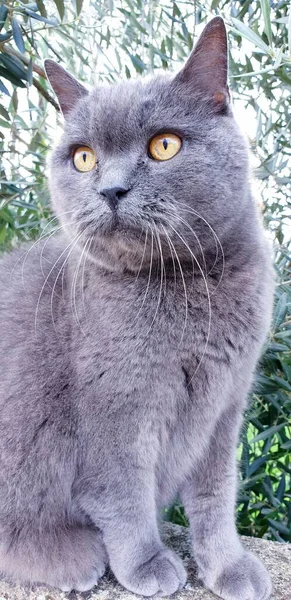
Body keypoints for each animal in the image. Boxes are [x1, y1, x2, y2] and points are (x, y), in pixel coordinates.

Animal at [0, 16, 274, 596]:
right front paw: (147, 564)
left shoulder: (226, 406)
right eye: (84, 157)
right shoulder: (115, 408)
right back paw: (68, 557)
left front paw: (227, 567)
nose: (111, 189)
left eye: (164, 145)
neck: (189, 287)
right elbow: (123, 494)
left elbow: (216, 498)